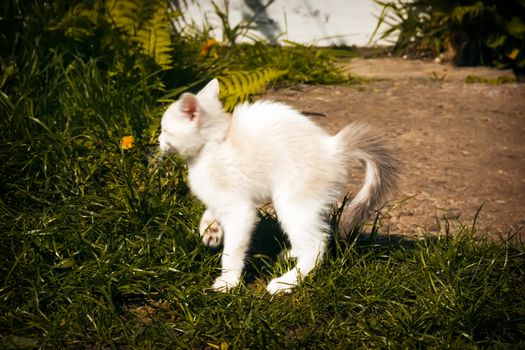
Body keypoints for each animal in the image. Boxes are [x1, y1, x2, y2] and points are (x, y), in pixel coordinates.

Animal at [160, 78, 398, 292]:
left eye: (165, 130)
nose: (158, 141)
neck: (213, 145)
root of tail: (333, 147)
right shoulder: (225, 198)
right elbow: (210, 212)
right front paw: (211, 231)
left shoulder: (239, 211)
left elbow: (232, 250)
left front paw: (228, 282)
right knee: (318, 234)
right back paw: (292, 254)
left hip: (291, 202)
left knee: (316, 245)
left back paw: (286, 282)